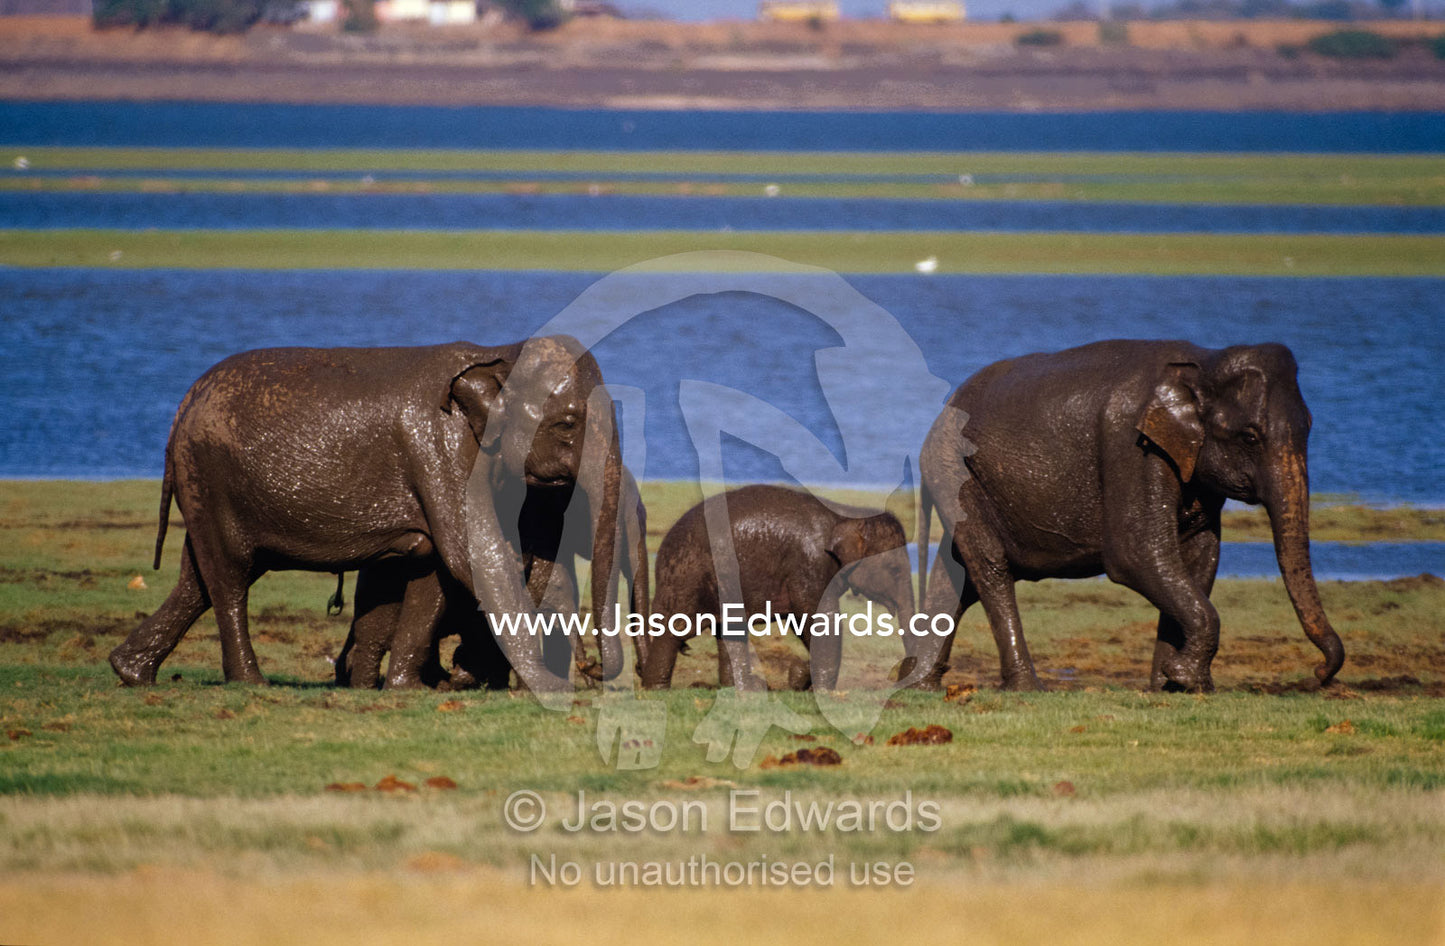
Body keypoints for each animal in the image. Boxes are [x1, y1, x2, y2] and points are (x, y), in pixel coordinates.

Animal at [640, 484, 914, 691]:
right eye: (894, 569)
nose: (901, 674)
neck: (847, 515)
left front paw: (803, 677)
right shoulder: (809, 562)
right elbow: (817, 618)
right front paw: (819, 689)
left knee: (728, 631)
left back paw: (742, 689)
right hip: (685, 576)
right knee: (673, 629)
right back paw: (656, 690)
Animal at [908, 339, 1345, 693]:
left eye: (1310, 426)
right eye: (1250, 436)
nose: (1318, 674)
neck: (1203, 362)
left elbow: (1198, 560)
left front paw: (1175, 687)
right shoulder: (1131, 446)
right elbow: (1137, 554)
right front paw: (1183, 678)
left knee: (959, 573)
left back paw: (919, 686)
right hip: (953, 468)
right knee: (991, 566)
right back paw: (1026, 689)